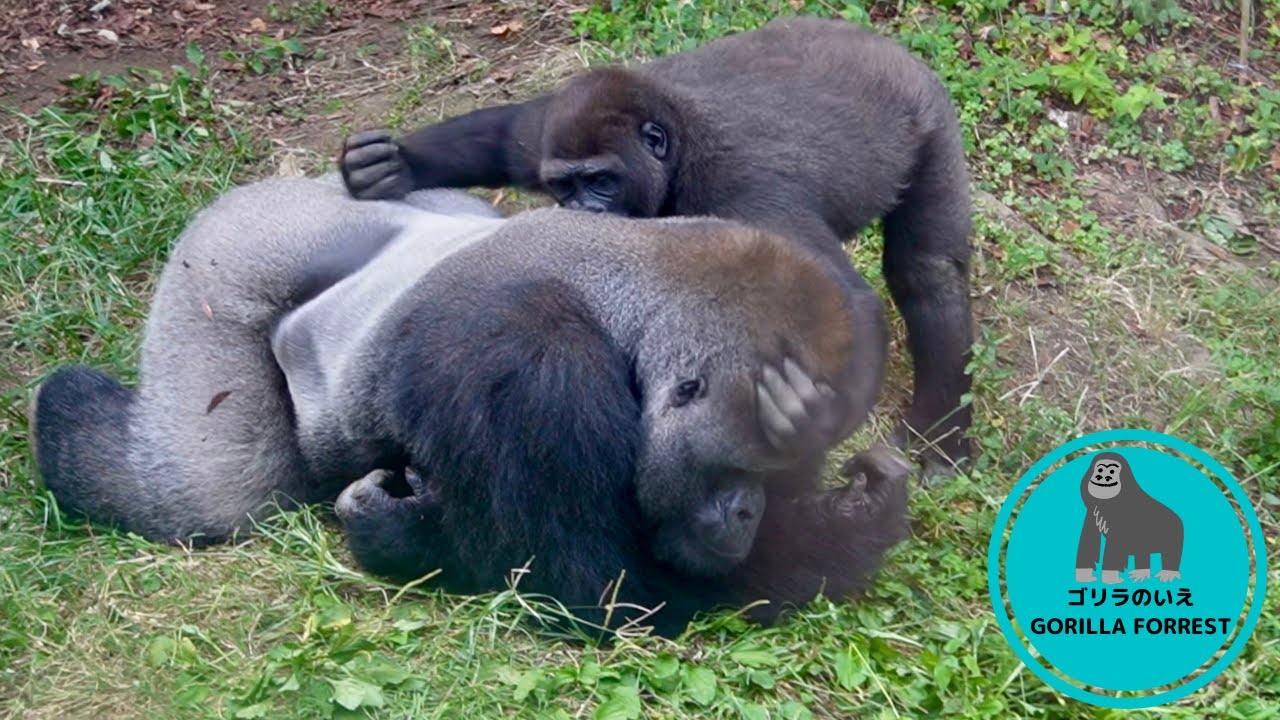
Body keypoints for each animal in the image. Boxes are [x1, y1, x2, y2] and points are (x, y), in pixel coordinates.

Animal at [30, 174, 908, 634]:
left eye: (783, 472)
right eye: (743, 468)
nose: (748, 512)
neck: (626, 292)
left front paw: (854, 518)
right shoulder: (521, 361)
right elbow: (598, 589)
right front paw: (403, 534)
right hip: (217, 266)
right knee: (209, 488)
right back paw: (73, 418)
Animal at [338, 16, 974, 477]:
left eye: (602, 182)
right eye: (565, 186)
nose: (581, 212)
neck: (679, 143)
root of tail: (877, 42)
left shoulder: (741, 190)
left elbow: (843, 299)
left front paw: (813, 423)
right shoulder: (545, 131)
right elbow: (504, 132)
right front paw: (397, 164)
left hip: (930, 111)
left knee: (928, 276)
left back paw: (943, 440)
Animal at [1074, 452, 1184, 585]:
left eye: (1112, 471)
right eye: (1100, 469)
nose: (1103, 476)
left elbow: (1115, 544)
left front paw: (1110, 578)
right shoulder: (1092, 512)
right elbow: (1089, 538)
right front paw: (1084, 576)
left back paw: (1167, 573)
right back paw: (1141, 572)